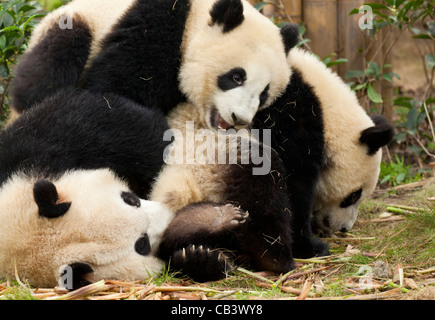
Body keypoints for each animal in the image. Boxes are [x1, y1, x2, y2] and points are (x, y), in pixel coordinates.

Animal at [10, 0, 298, 127]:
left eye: (264, 94)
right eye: (236, 77)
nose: (239, 119)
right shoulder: (157, 25)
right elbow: (119, 88)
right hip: (72, 24)